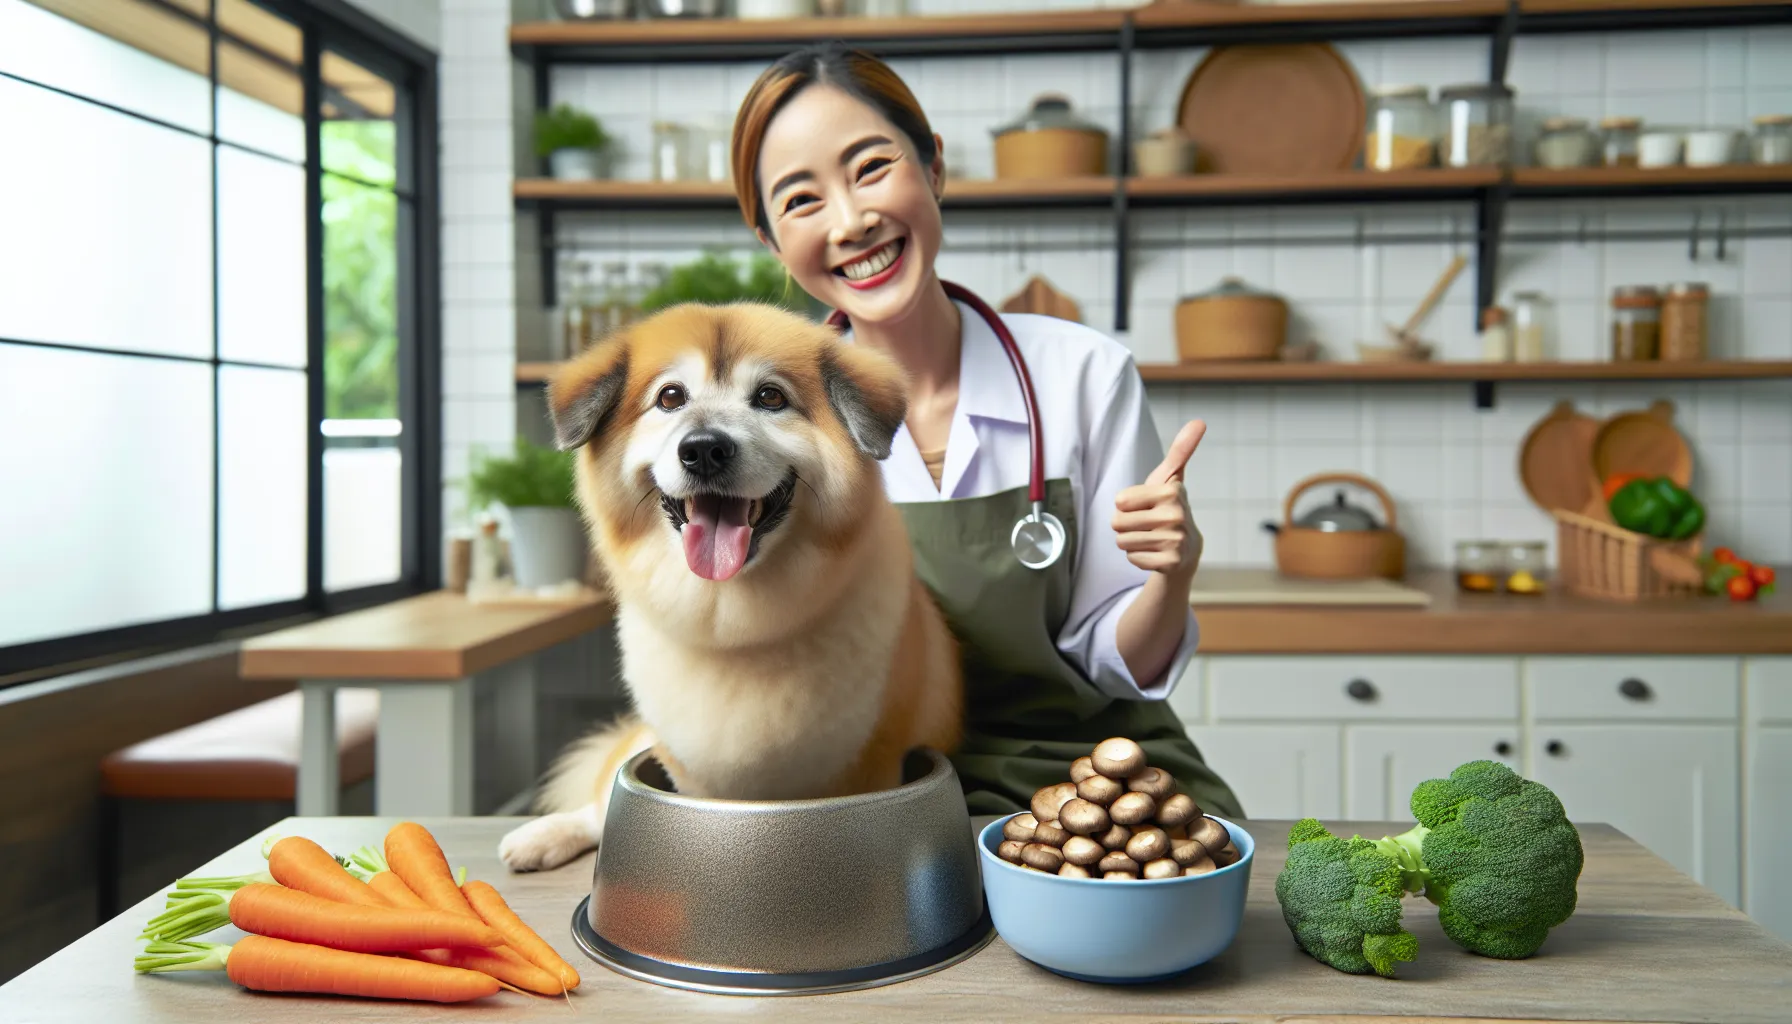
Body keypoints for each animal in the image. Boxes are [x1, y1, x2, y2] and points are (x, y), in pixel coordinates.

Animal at [491, 303, 967, 875]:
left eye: (770, 397)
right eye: (670, 397)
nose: (703, 450)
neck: (733, 629)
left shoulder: (873, 761)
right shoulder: (688, 769)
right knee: (599, 804)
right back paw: (542, 837)